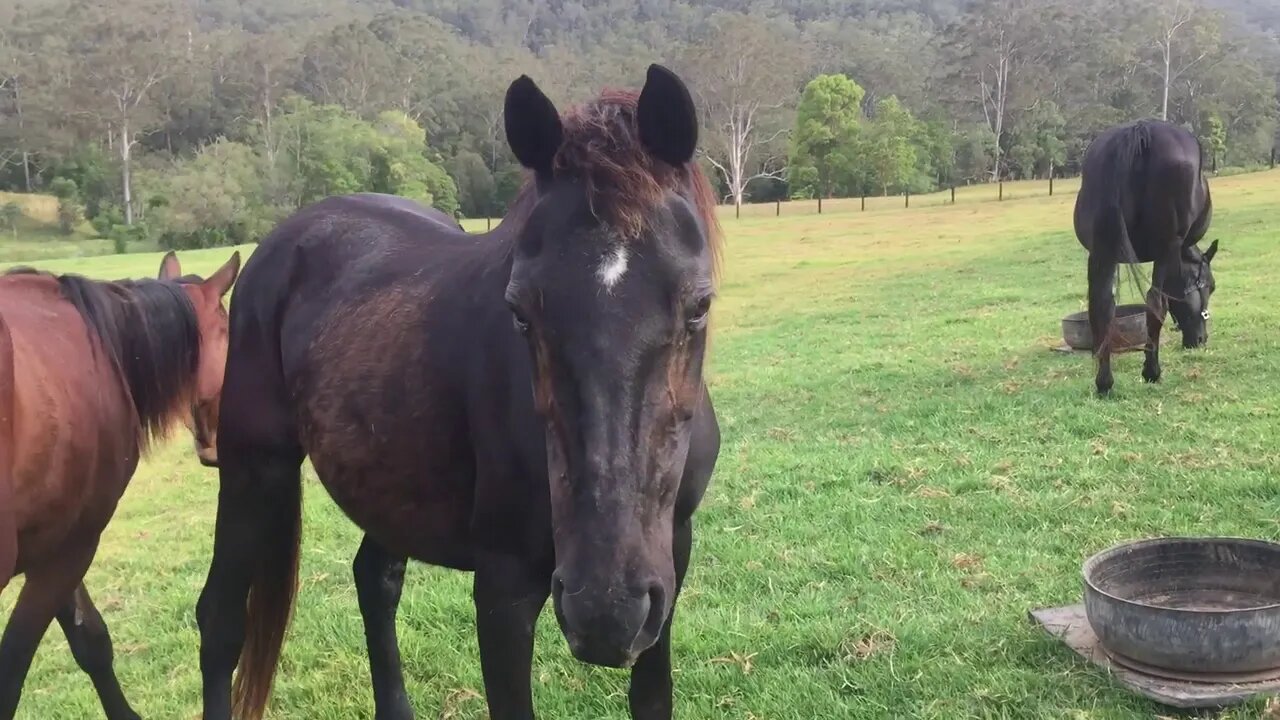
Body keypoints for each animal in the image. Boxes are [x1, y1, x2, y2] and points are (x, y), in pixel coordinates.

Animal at [195, 63, 727, 717]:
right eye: (520, 312)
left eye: (699, 305)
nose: (605, 611)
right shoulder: (503, 589)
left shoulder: (669, 564)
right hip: (253, 469)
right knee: (221, 621)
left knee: (375, 581)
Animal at [1070, 119, 1218, 394]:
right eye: (1211, 287)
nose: (1200, 339)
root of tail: (1139, 131)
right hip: (1165, 248)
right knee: (1155, 303)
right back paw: (1152, 372)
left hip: (1101, 252)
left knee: (1103, 306)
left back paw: (1104, 383)